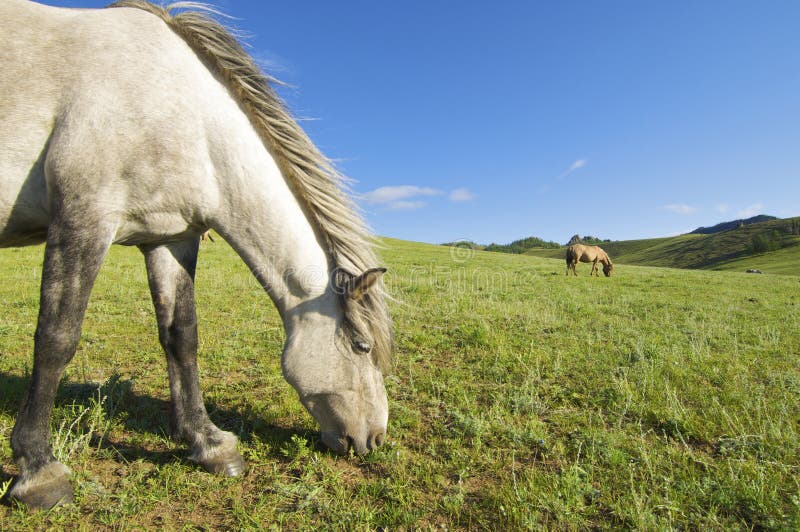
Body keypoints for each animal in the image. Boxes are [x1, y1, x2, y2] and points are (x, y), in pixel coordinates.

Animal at [0, 0, 392, 510]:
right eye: (362, 347)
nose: (374, 439)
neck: (179, 111)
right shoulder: (83, 219)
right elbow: (55, 339)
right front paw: (38, 470)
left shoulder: (172, 238)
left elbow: (181, 337)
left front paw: (209, 444)